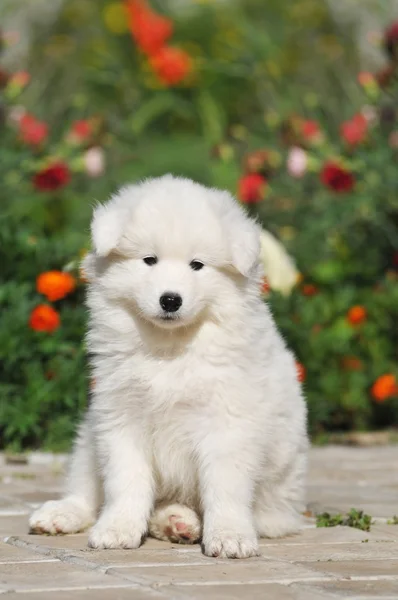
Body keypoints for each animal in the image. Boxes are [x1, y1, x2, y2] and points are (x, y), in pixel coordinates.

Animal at [30, 175, 308, 556]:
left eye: (197, 265)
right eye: (150, 260)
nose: (170, 300)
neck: (170, 347)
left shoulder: (227, 420)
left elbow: (225, 485)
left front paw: (230, 536)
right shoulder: (120, 415)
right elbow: (125, 480)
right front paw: (118, 529)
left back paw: (179, 522)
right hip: (88, 436)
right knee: (85, 488)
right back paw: (63, 515)